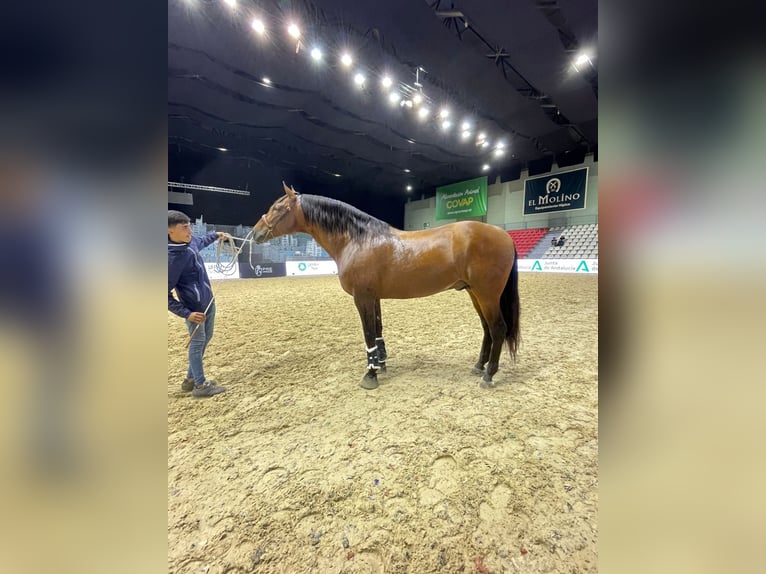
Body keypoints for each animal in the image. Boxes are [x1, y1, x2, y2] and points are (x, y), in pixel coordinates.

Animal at [252, 184, 520, 392]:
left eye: (278, 207)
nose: (255, 232)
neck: (358, 240)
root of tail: (504, 235)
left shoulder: (362, 297)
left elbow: (368, 333)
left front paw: (370, 375)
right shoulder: (374, 297)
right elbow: (378, 330)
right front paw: (380, 364)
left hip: (487, 295)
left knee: (498, 328)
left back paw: (489, 375)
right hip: (475, 294)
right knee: (487, 329)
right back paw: (479, 366)